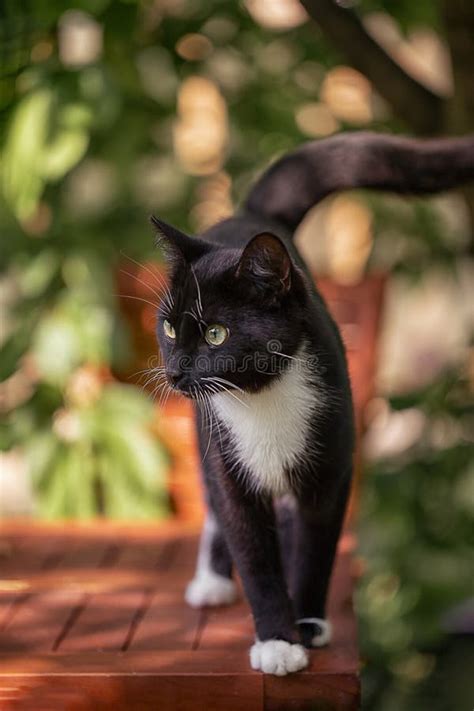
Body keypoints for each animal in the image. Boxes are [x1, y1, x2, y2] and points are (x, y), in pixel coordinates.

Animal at [153, 132, 474, 672]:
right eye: (170, 328)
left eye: (217, 334)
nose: (175, 370)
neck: (261, 400)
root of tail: (250, 215)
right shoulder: (227, 458)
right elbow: (251, 550)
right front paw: (277, 641)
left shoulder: (333, 467)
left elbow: (316, 547)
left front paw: (307, 623)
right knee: (213, 499)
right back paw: (213, 581)